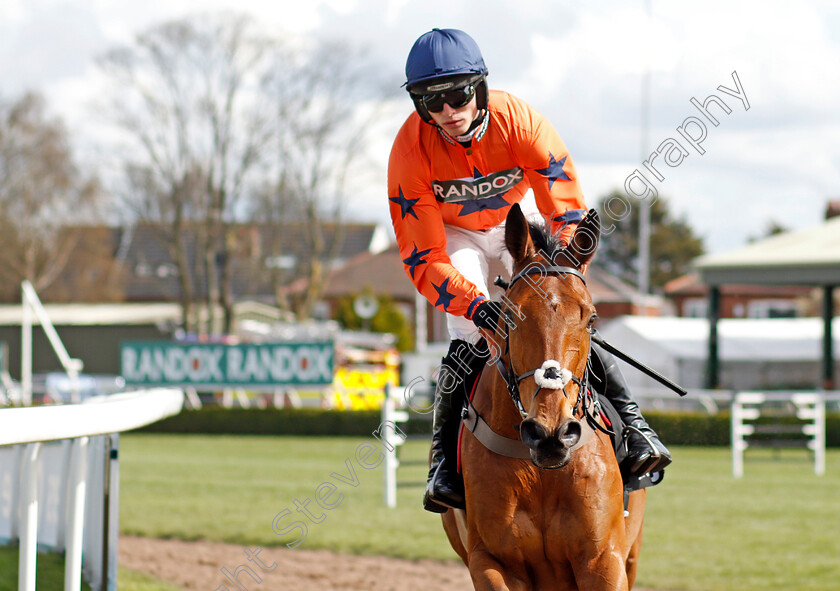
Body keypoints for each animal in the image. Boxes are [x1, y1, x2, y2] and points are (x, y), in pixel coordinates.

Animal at [442, 205, 648, 591]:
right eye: (509, 316)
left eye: (591, 318)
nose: (551, 433)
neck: (541, 474)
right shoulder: (491, 561)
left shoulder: (604, 560)